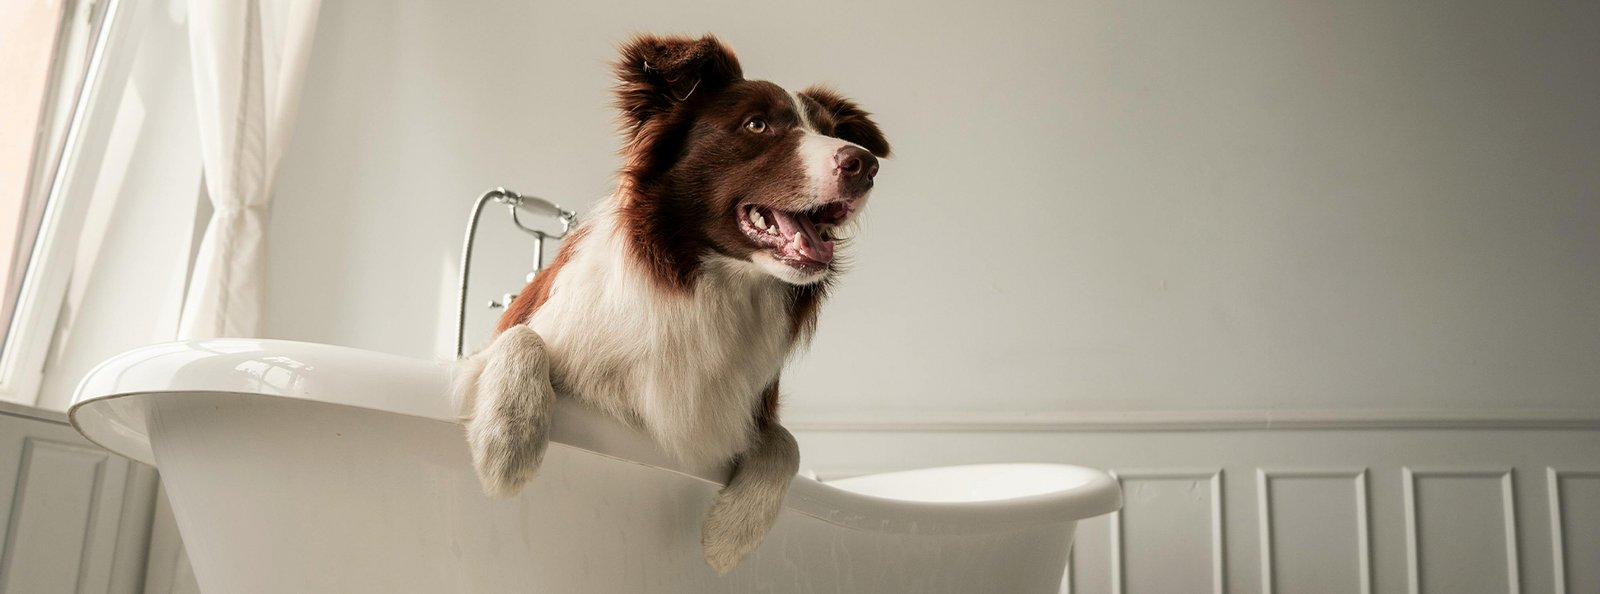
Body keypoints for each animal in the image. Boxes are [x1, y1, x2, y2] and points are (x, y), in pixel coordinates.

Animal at [451, 34, 889, 573]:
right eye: (756, 124)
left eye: (829, 131)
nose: (865, 164)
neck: (708, 284)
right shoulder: (488, 353)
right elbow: (521, 337)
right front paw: (505, 447)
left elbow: (787, 442)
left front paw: (729, 535)